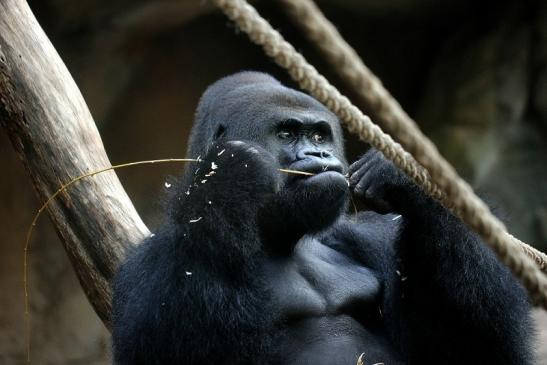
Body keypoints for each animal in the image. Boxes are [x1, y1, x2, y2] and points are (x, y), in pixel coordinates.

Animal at [112, 72, 536, 364]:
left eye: (319, 136)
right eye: (286, 134)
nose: (319, 156)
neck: (282, 237)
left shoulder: (368, 233)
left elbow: (471, 345)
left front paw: (405, 177)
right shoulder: (145, 262)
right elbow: (171, 345)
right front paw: (227, 180)